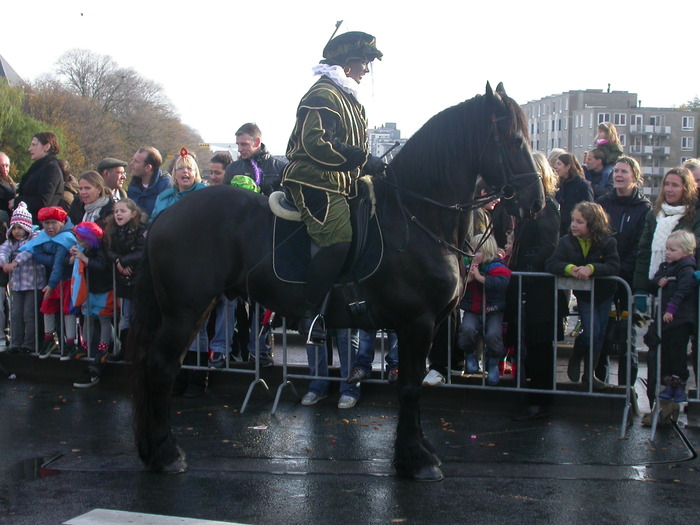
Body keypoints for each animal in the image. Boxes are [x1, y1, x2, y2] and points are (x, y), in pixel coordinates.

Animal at [133, 82, 548, 478]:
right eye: (514, 139)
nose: (537, 201)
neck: (415, 217)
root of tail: (165, 216)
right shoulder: (416, 323)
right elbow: (409, 387)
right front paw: (415, 460)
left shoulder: (427, 325)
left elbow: (413, 386)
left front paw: (420, 450)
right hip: (185, 310)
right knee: (161, 366)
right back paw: (165, 453)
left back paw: (156, 450)